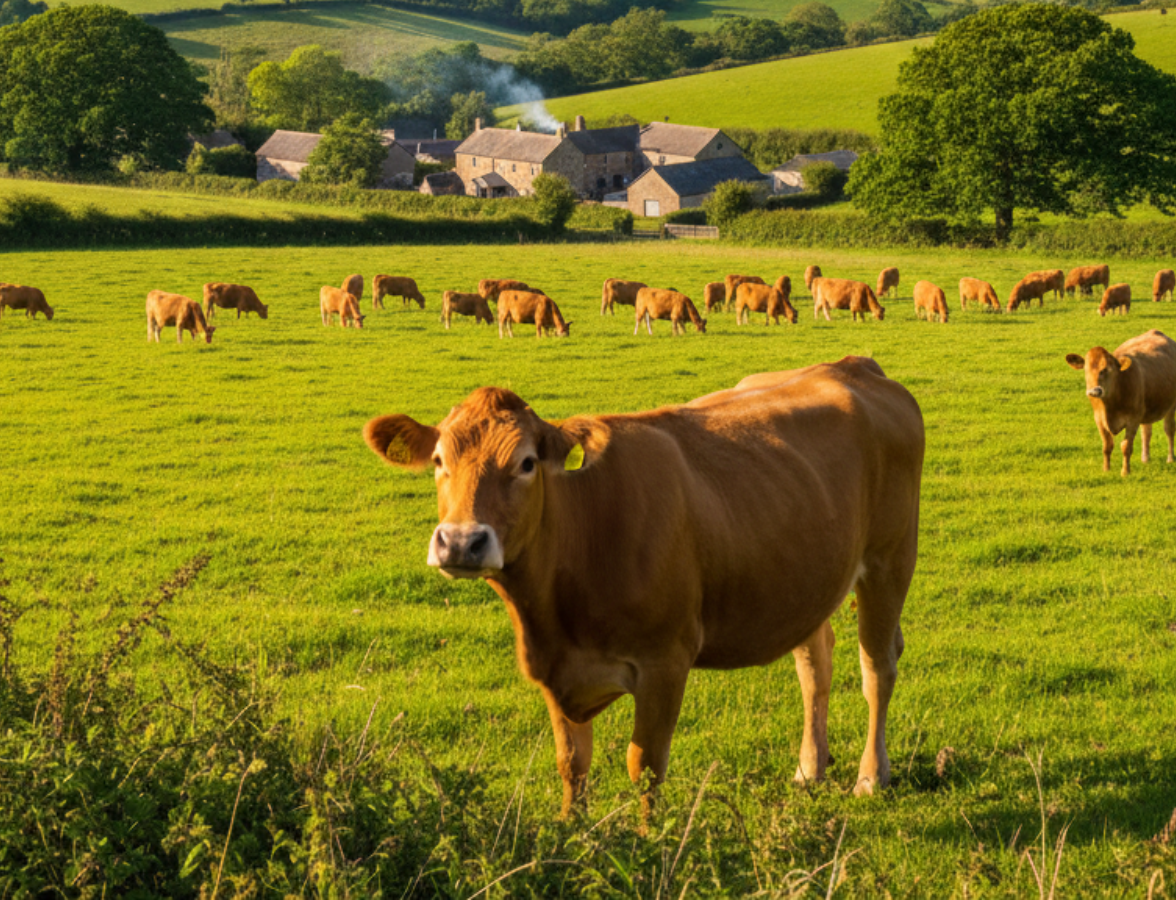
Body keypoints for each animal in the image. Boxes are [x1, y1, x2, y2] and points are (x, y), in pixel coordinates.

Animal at [361, 358, 925, 818]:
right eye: (438, 461)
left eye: (525, 463)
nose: (460, 542)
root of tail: (854, 367)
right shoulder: (555, 671)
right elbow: (572, 764)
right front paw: (573, 836)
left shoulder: (665, 661)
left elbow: (644, 765)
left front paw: (647, 843)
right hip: (808, 578)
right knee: (815, 665)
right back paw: (810, 768)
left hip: (890, 560)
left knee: (877, 668)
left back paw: (870, 776)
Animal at [1065, 330, 1176, 476]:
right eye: (1086, 370)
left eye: (1107, 370)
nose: (1094, 391)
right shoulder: (1098, 419)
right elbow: (1107, 445)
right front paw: (1106, 469)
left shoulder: (1133, 419)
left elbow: (1126, 446)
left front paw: (1125, 472)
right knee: (1146, 432)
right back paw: (1145, 459)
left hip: (1171, 405)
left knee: (1169, 429)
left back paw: (1170, 458)